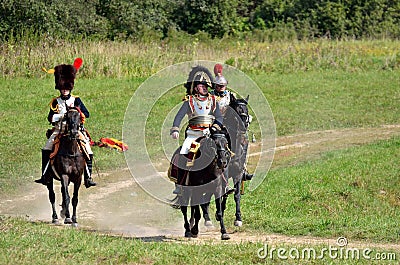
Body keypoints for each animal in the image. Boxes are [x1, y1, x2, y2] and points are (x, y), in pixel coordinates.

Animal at [202, 95, 252, 227]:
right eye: (236, 112)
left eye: (246, 111)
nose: (244, 127)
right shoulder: (224, 173)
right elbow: (224, 193)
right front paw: (219, 214)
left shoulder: (238, 174)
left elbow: (236, 195)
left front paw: (238, 218)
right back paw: (207, 218)